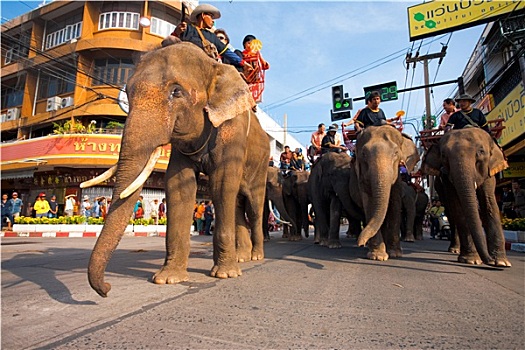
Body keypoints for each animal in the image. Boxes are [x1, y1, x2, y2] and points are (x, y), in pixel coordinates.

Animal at [83, 41, 270, 298]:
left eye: (176, 92)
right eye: (128, 93)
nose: (106, 289)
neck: (213, 66)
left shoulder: (232, 131)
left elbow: (221, 184)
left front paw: (225, 274)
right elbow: (179, 186)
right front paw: (168, 279)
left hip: (262, 165)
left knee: (253, 205)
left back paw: (256, 257)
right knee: (238, 204)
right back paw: (242, 257)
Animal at [352, 126, 422, 260]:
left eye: (396, 153)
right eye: (363, 154)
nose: (360, 243)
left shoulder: (397, 180)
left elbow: (395, 205)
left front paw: (395, 254)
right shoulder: (361, 178)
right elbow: (369, 204)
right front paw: (377, 256)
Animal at [420, 127, 510, 266]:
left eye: (481, 151)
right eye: (444, 156)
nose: (489, 260)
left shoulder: (489, 171)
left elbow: (489, 203)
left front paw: (501, 262)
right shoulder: (446, 178)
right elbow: (457, 206)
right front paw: (471, 260)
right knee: (450, 212)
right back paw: (454, 249)